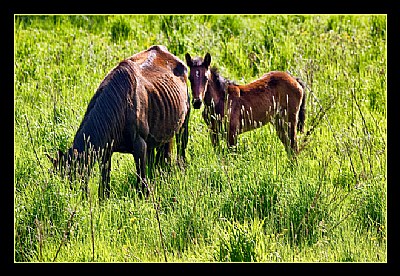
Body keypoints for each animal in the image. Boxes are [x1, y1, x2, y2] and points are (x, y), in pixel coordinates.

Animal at [47, 45, 191, 201]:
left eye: (75, 177)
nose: (72, 201)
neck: (121, 106)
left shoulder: (140, 146)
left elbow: (142, 180)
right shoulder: (106, 151)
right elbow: (104, 185)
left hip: (184, 125)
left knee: (181, 148)